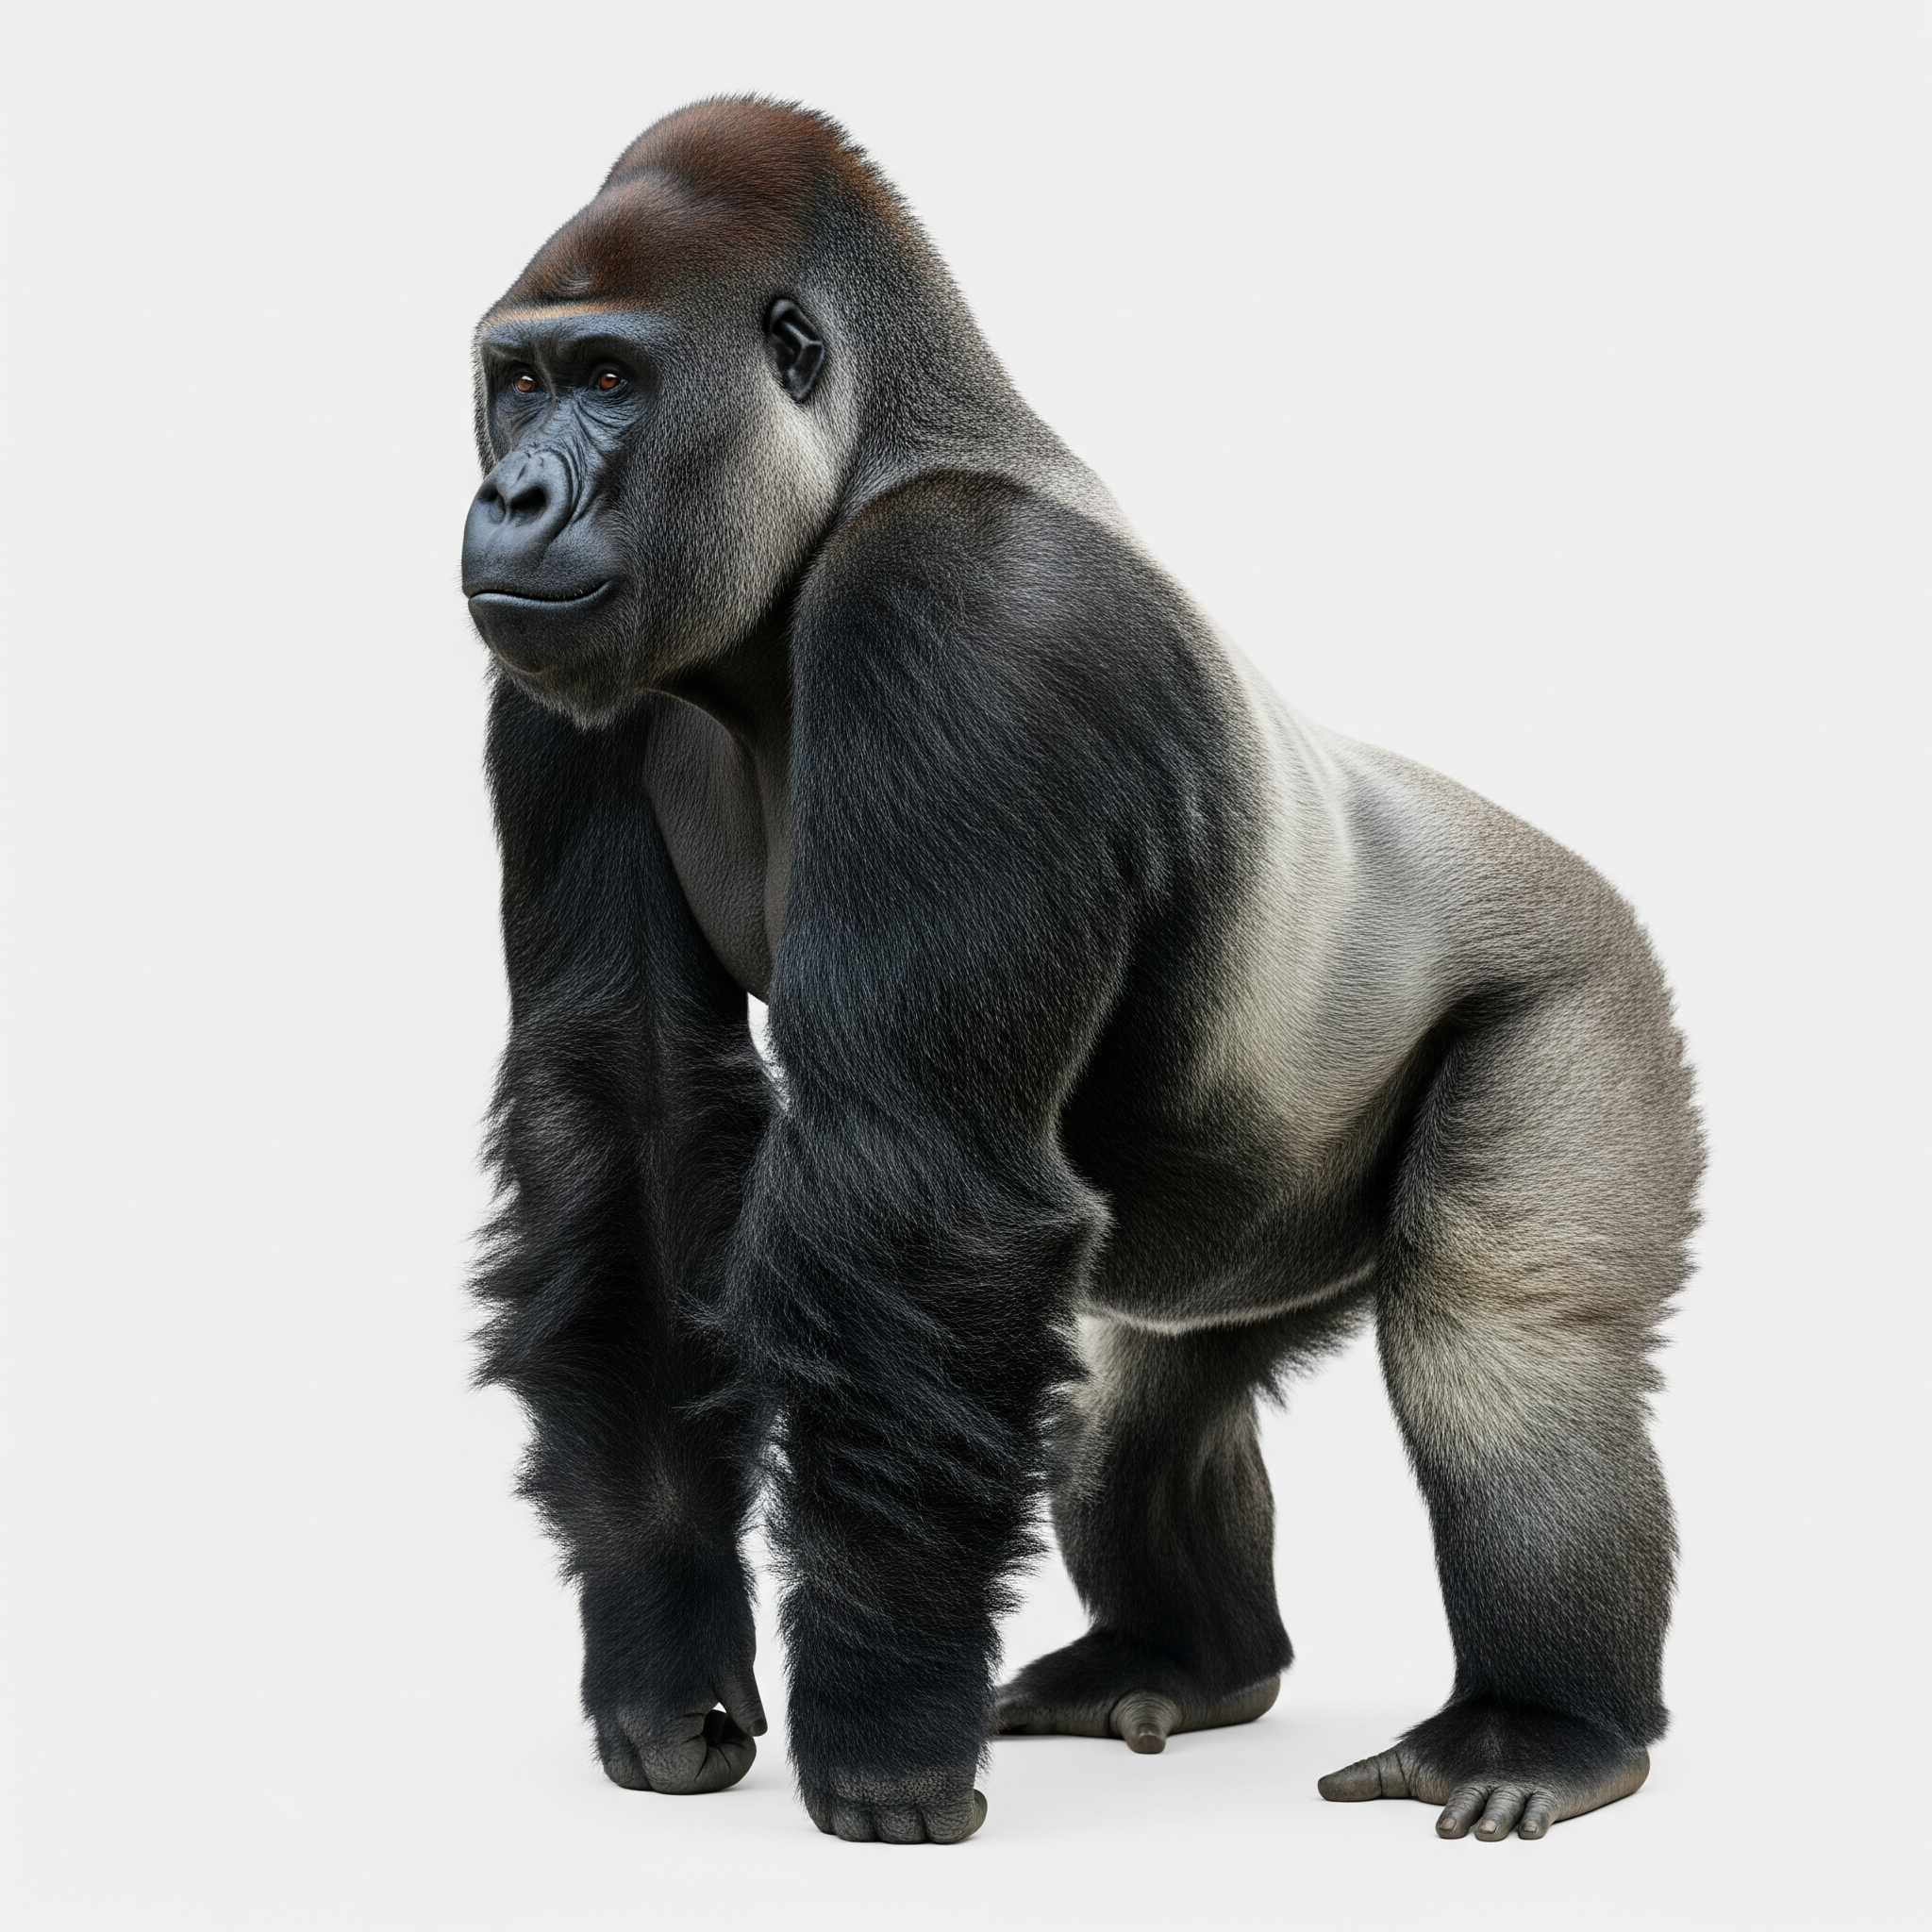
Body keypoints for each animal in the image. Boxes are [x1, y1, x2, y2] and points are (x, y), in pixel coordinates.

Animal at [461, 98, 1701, 1848]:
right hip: (1244, 1241)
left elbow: (915, 1182)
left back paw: (1548, 1726)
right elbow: (623, 1118)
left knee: (1505, 1343)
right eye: (517, 378)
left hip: (1589, 982)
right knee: (1138, 1393)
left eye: (611, 380)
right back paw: (1188, 1658)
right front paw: (665, 1653)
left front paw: (881, 1731)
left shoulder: (973, 616)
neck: (856, 473)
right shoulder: (561, 691)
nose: (514, 496)